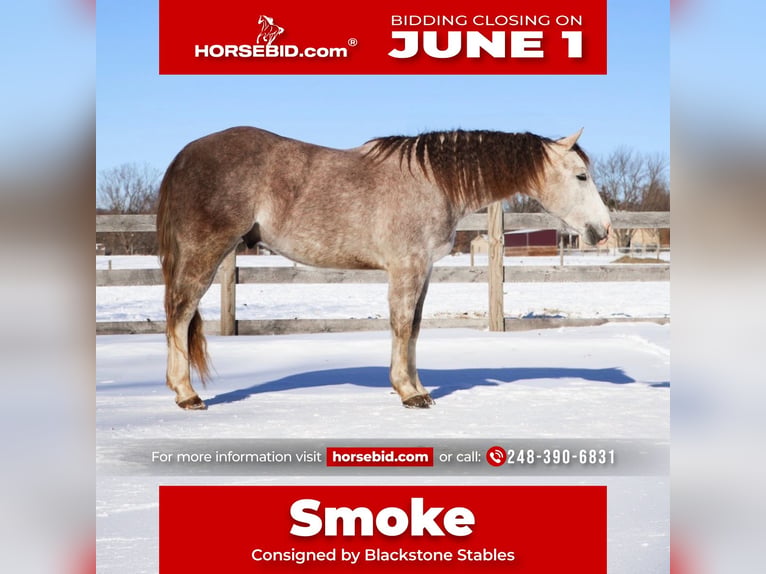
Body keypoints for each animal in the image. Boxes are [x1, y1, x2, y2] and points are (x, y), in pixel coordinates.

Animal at [157, 127, 612, 410]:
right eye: (581, 176)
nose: (603, 229)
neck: (433, 181)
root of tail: (185, 155)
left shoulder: (422, 270)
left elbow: (415, 328)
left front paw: (418, 387)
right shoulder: (406, 267)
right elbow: (401, 325)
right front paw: (408, 392)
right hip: (205, 252)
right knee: (179, 314)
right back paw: (186, 394)